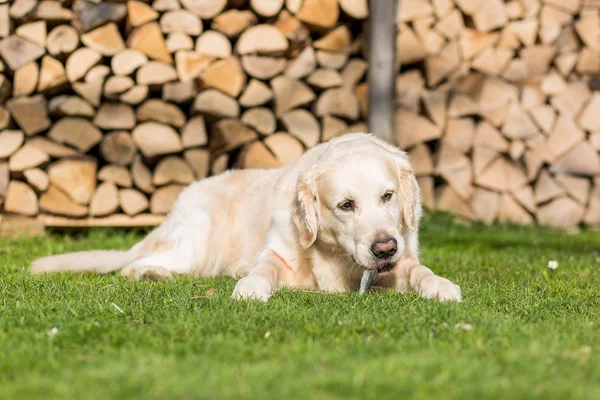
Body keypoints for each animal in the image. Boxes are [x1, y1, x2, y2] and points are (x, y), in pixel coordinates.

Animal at [30, 133, 462, 302]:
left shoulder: (401, 259)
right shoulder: (277, 253)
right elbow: (263, 270)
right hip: (194, 240)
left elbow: (419, 270)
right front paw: (250, 288)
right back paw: (152, 274)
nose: (384, 247)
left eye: (388, 196)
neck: (337, 257)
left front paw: (441, 285)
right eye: (346, 205)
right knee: (133, 263)